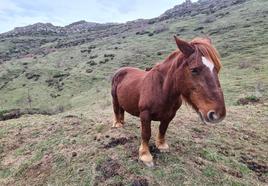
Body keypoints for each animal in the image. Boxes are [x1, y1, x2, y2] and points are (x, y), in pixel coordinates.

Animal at [111, 35, 226, 166]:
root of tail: (121, 70)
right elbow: (146, 133)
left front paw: (161, 146)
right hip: (114, 99)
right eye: (194, 70)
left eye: (217, 68)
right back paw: (117, 124)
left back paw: (122, 122)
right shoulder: (145, 114)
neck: (162, 88)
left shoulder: (170, 115)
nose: (217, 114)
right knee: (116, 110)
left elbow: (163, 129)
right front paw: (145, 155)